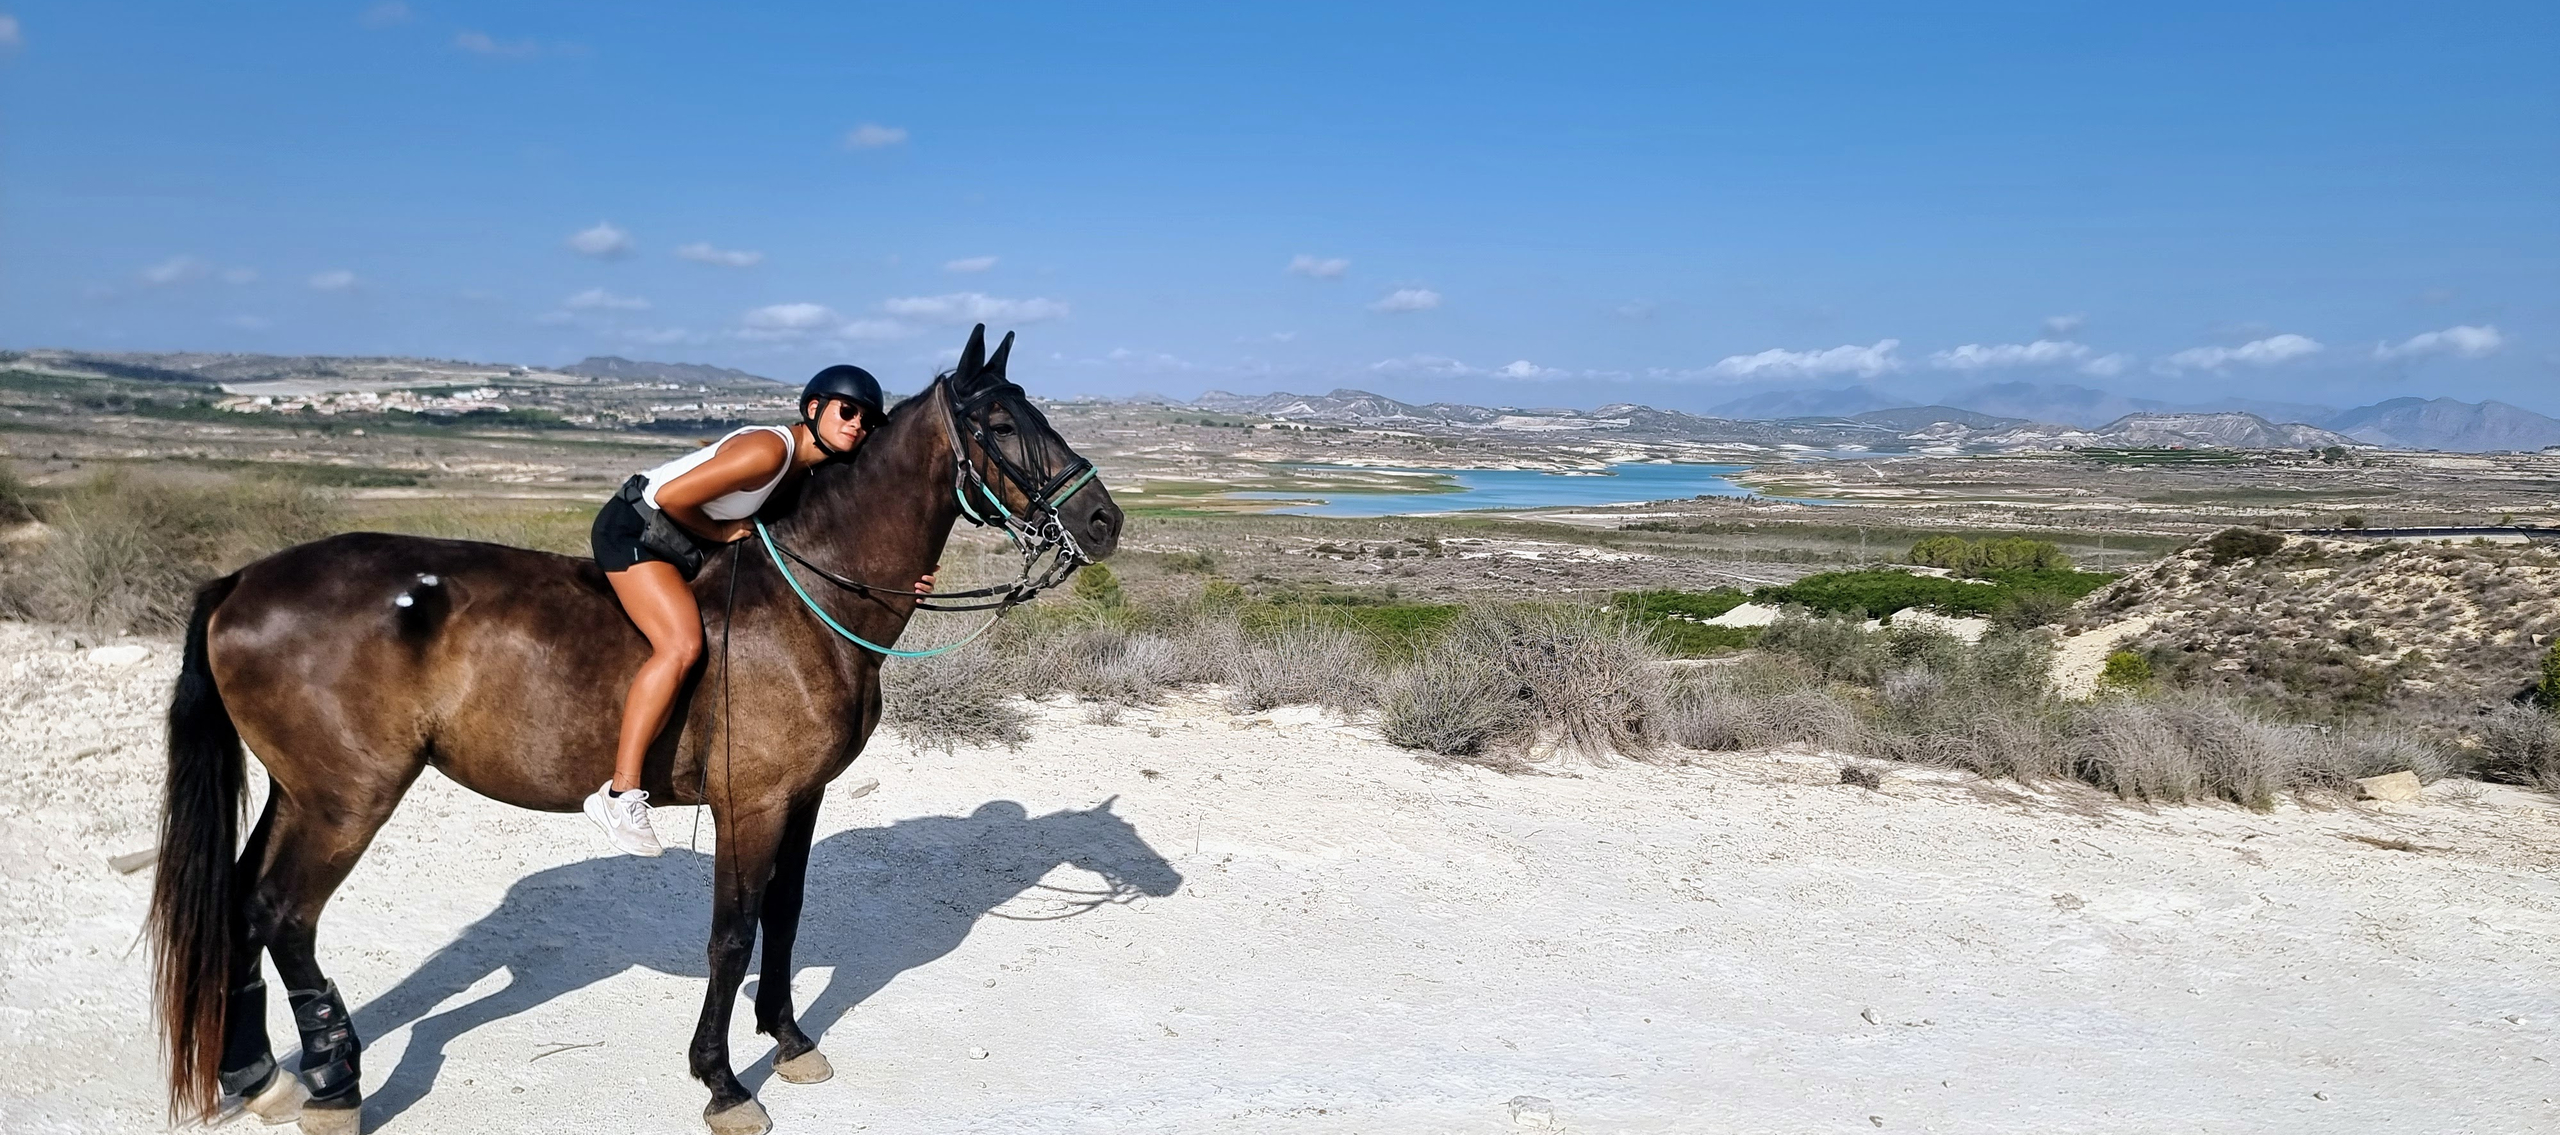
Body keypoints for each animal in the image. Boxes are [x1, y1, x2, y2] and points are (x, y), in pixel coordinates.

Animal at [149, 324, 1121, 1132]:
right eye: (999, 422)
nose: (1103, 518)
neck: (811, 599)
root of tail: (242, 580)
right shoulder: (749, 805)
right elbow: (732, 934)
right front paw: (722, 1082)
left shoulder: (802, 798)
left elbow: (786, 914)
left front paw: (789, 1039)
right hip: (348, 798)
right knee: (284, 913)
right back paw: (335, 1084)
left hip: (301, 791)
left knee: (240, 903)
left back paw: (259, 1075)